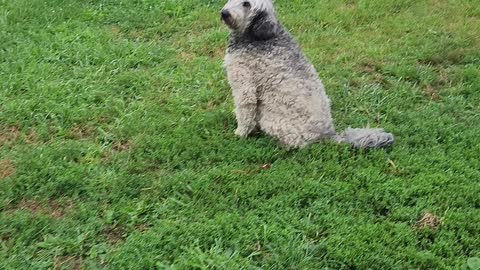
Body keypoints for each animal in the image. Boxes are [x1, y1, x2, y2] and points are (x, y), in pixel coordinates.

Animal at [221, 0, 394, 149]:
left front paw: (240, 133)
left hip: (273, 121)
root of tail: (328, 134)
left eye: (247, 4)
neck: (258, 35)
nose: (224, 13)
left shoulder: (244, 84)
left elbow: (245, 113)